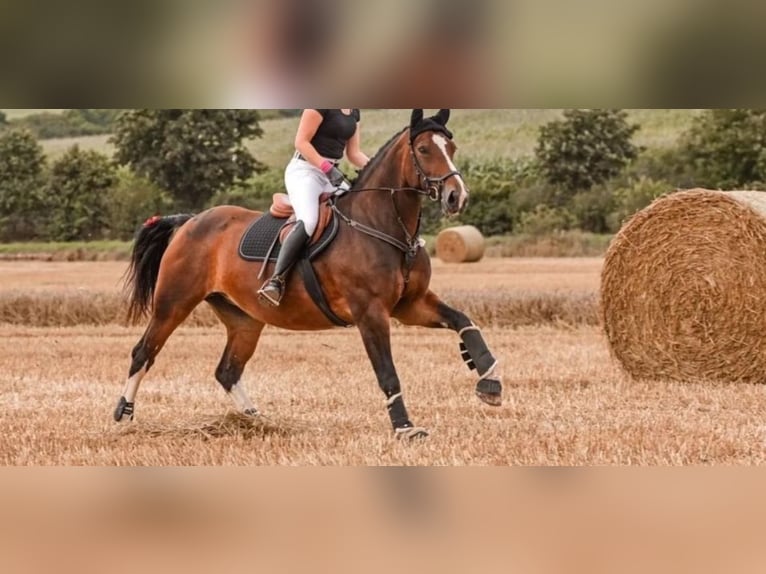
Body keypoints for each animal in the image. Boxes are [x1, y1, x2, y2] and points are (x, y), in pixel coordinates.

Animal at [114, 109, 503, 439]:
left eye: (450, 147)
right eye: (423, 149)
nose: (456, 197)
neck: (385, 226)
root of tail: (190, 220)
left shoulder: (411, 304)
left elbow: (465, 322)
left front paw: (489, 381)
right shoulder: (371, 313)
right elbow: (387, 372)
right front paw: (405, 428)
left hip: (244, 319)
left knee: (227, 370)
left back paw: (256, 421)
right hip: (174, 303)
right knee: (144, 352)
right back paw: (124, 414)